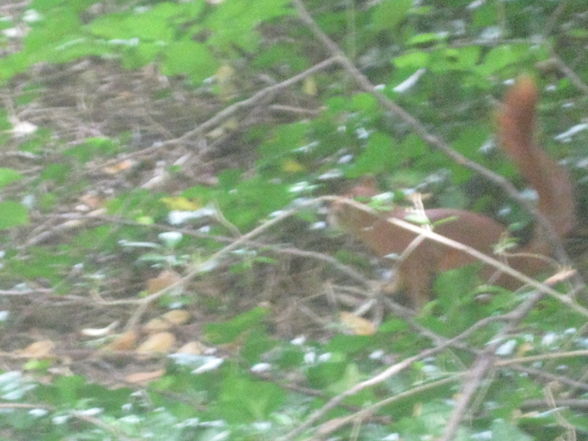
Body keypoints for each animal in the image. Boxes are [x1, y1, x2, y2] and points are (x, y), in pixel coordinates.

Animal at [334, 75, 576, 308]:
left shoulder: (413, 258)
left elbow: (418, 288)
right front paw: (383, 288)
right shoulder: (399, 263)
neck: (385, 223)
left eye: (347, 200)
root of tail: (517, 262)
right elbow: (398, 282)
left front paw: (421, 313)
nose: (330, 211)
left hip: (458, 266)